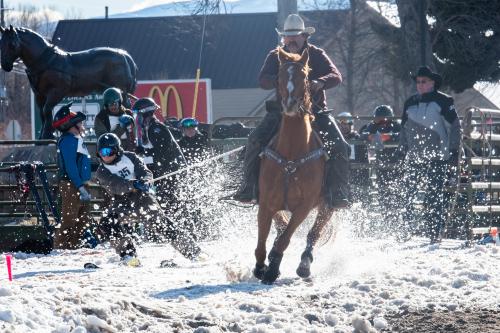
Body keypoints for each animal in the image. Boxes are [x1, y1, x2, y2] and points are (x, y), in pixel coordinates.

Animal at [254, 48, 336, 284]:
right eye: (280, 77)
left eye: (305, 77)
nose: (290, 104)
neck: (292, 152)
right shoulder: (266, 203)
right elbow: (263, 241)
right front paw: (261, 267)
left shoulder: (304, 206)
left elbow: (286, 238)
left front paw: (272, 270)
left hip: (327, 207)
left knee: (313, 234)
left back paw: (304, 265)